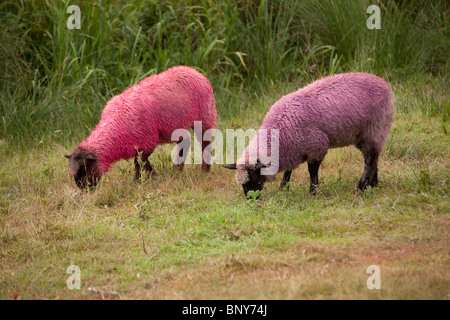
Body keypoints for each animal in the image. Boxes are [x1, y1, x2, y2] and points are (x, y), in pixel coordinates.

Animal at [64, 66, 216, 189]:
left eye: (85, 169)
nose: (83, 188)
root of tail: (194, 70)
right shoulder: (137, 145)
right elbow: (141, 162)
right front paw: (150, 176)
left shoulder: (148, 142)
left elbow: (140, 163)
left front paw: (140, 179)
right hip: (177, 126)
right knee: (185, 142)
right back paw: (177, 169)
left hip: (205, 116)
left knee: (205, 143)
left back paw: (205, 169)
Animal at [224, 72, 394, 198]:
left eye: (254, 177)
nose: (250, 199)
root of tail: (383, 83)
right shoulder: (293, 149)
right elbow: (288, 171)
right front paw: (283, 188)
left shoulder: (317, 146)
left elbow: (312, 170)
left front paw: (313, 191)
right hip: (366, 135)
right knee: (373, 157)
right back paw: (372, 184)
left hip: (375, 129)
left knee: (370, 160)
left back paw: (361, 186)